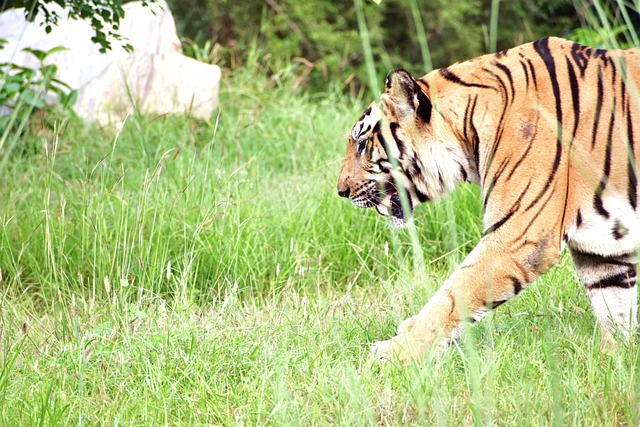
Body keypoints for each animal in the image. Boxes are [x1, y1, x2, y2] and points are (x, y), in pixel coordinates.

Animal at [338, 38, 636, 362]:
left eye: (362, 144)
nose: (341, 191)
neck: (468, 132)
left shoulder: (518, 237)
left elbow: (452, 296)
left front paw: (394, 352)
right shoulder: (603, 251)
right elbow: (615, 309)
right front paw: (615, 360)